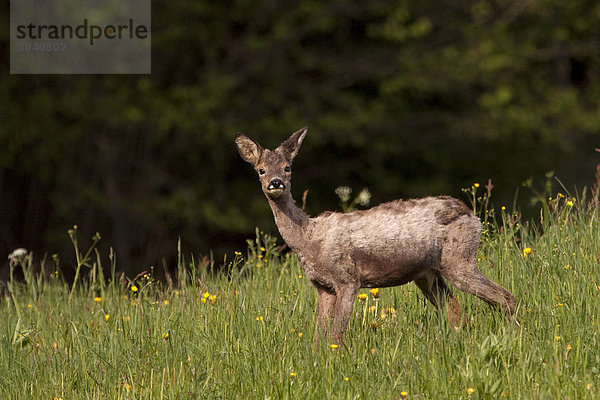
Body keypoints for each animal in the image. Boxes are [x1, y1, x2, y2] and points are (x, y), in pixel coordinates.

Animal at [234, 127, 516, 344]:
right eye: (260, 169)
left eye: (287, 167)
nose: (276, 183)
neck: (309, 238)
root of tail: (471, 215)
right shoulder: (322, 287)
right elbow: (318, 338)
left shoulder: (347, 278)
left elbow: (337, 336)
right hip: (428, 274)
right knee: (458, 315)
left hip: (459, 259)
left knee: (504, 297)